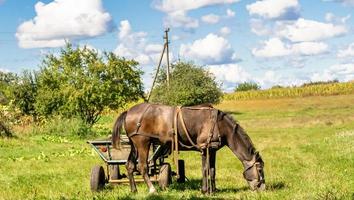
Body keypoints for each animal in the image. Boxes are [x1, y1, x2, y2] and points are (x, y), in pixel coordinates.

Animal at [112, 102, 264, 193]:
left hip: (134, 145)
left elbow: (212, 170)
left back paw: (134, 190)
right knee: (142, 166)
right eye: (260, 169)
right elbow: (205, 169)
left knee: (130, 165)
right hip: (142, 143)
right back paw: (152, 189)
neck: (219, 125)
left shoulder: (212, 150)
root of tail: (129, 111)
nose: (262, 188)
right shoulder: (204, 149)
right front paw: (205, 190)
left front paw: (214, 190)